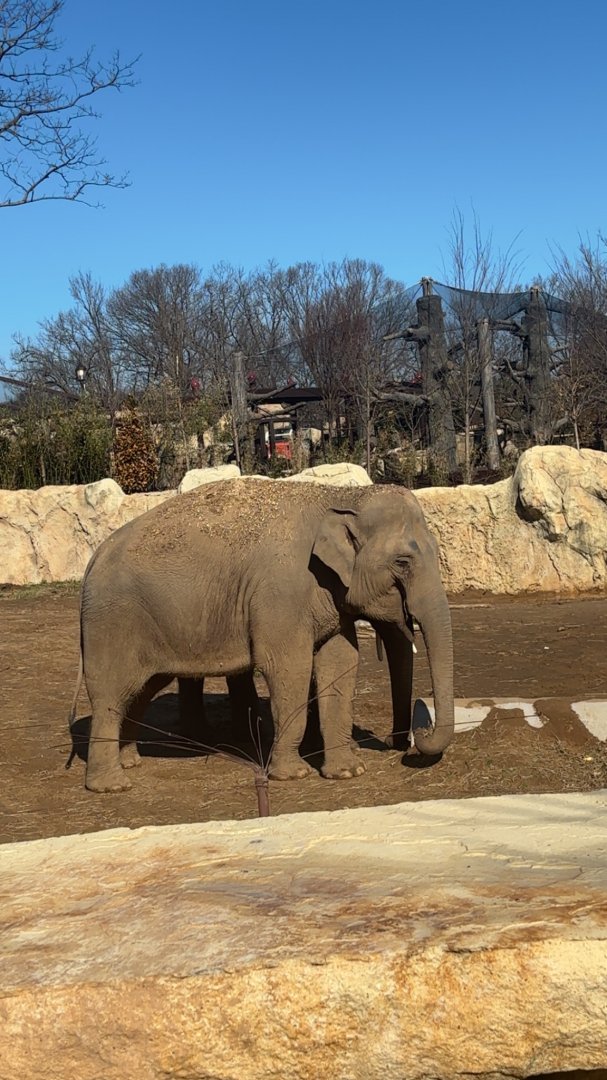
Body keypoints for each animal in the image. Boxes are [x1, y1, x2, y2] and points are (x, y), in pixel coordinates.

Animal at [71, 479, 454, 792]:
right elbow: (289, 667)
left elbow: (341, 663)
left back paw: (130, 762)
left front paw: (348, 772)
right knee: (110, 694)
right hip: (112, 622)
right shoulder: (280, 593)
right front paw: (294, 775)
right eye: (402, 562)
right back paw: (111, 785)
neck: (340, 496)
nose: (410, 740)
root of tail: (93, 557)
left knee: (139, 690)